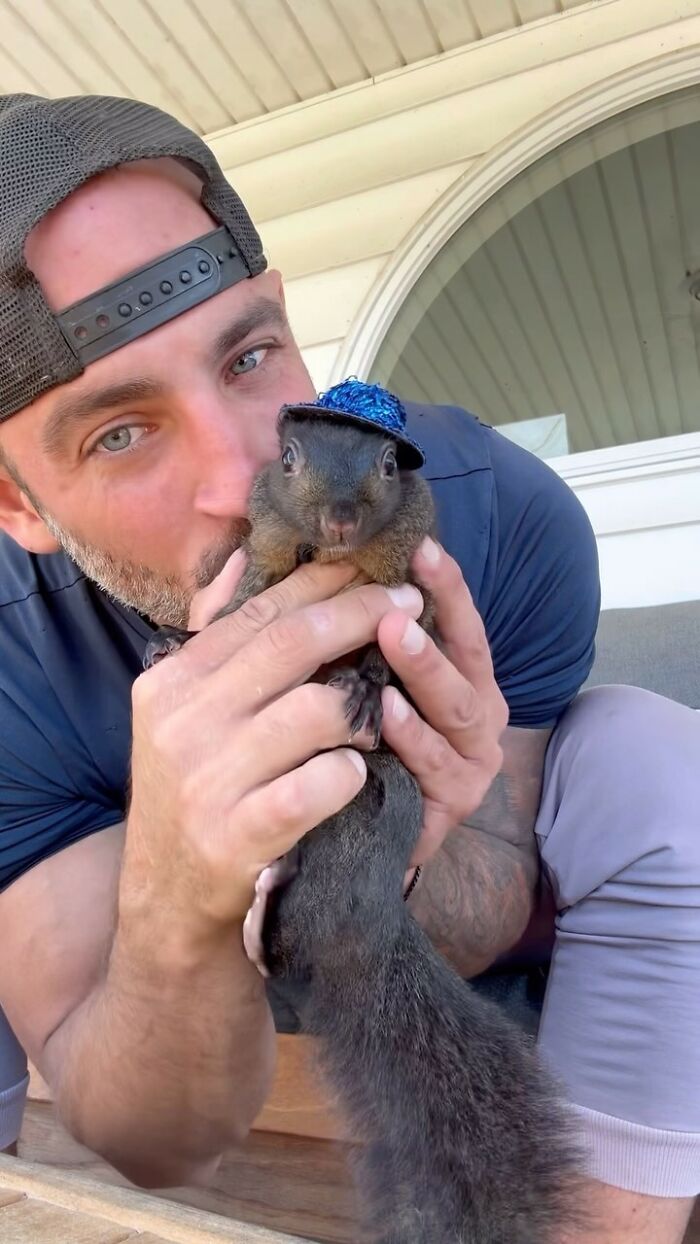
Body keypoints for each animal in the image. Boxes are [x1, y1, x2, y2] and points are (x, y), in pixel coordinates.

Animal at [145, 391, 582, 1243]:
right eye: (286, 458)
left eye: (389, 466)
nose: (341, 519)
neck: (329, 558)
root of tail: (368, 911)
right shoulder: (265, 554)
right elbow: (237, 611)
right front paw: (178, 641)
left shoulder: (415, 582)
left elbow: (409, 640)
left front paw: (370, 681)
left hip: (363, 809)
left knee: (297, 923)